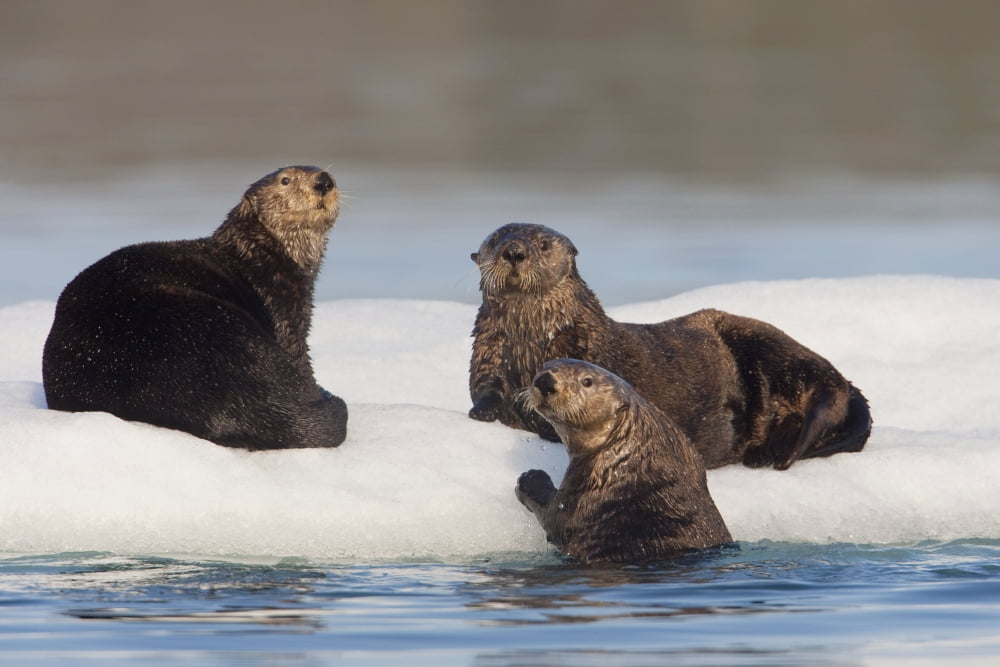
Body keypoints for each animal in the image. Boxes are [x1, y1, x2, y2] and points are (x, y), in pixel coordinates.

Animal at [43, 166, 348, 450]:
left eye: (329, 174)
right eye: (285, 180)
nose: (323, 181)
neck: (258, 255)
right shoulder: (286, 309)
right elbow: (300, 355)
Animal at [470, 223, 871, 470]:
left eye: (542, 243)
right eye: (494, 240)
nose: (514, 251)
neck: (532, 344)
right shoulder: (487, 355)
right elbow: (484, 391)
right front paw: (486, 412)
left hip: (776, 350)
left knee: (825, 400)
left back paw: (770, 453)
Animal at [516, 359, 733, 564]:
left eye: (587, 381)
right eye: (545, 365)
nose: (545, 380)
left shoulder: (589, 486)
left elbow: (556, 520)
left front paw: (530, 477)